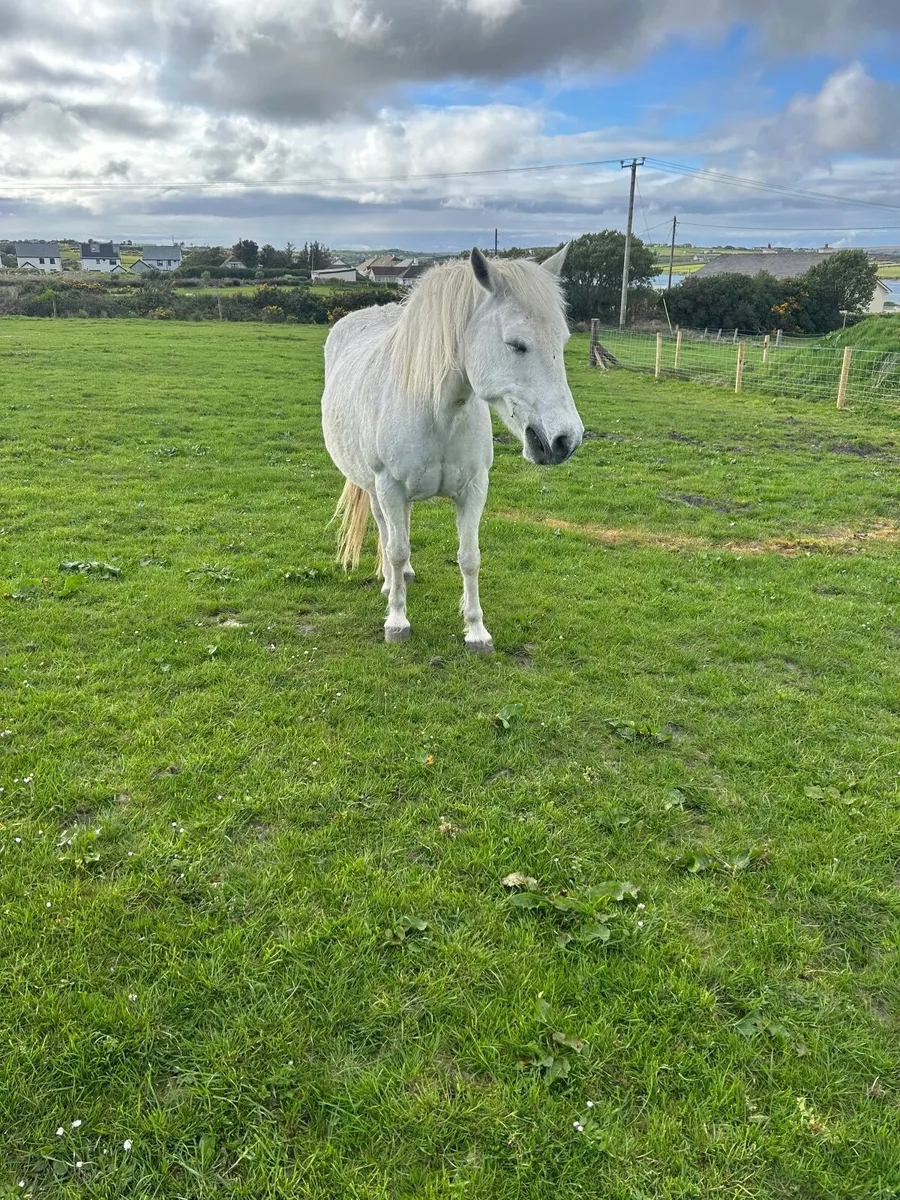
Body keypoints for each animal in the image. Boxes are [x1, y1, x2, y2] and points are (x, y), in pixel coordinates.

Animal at [321, 245, 584, 651]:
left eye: (562, 341)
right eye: (516, 344)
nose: (565, 441)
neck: (437, 410)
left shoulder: (474, 488)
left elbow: (469, 557)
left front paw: (476, 631)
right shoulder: (389, 486)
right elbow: (396, 550)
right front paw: (397, 622)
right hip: (374, 487)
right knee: (386, 531)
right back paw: (389, 585)